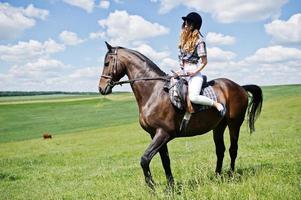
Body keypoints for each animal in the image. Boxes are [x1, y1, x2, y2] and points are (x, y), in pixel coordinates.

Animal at [98, 42, 260, 189]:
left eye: (107, 63)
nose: (101, 88)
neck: (154, 92)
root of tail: (239, 87)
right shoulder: (155, 134)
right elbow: (165, 161)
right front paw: (171, 187)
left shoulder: (163, 133)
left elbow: (145, 159)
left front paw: (152, 187)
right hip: (219, 126)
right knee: (220, 150)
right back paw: (217, 176)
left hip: (234, 124)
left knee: (233, 149)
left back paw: (231, 175)